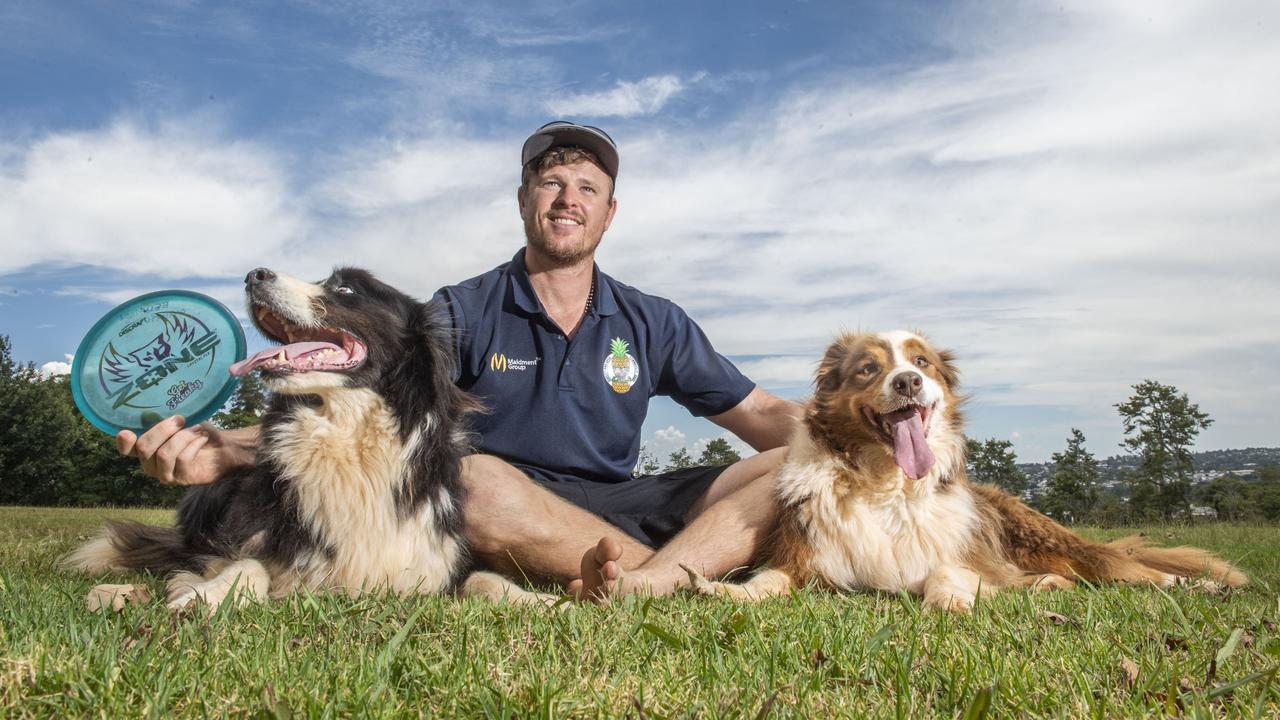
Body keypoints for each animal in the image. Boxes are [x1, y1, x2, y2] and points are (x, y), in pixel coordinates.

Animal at [67, 266, 537, 607]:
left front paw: (541, 603)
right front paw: (205, 596)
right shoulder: (244, 544)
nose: (254, 275)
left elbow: (482, 579)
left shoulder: (433, 557)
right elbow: (247, 566)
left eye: (346, 289)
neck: (349, 440)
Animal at [686, 330, 1244, 604]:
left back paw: (1201, 585)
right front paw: (725, 591)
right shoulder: (804, 559)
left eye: (922, 362)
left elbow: (945, 575)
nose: (908, 382)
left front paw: (950, 602)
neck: (885, 484)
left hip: (1048, 538)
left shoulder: (959, 553)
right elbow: (767, 583)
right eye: (868, 369)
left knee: (1128, 570)